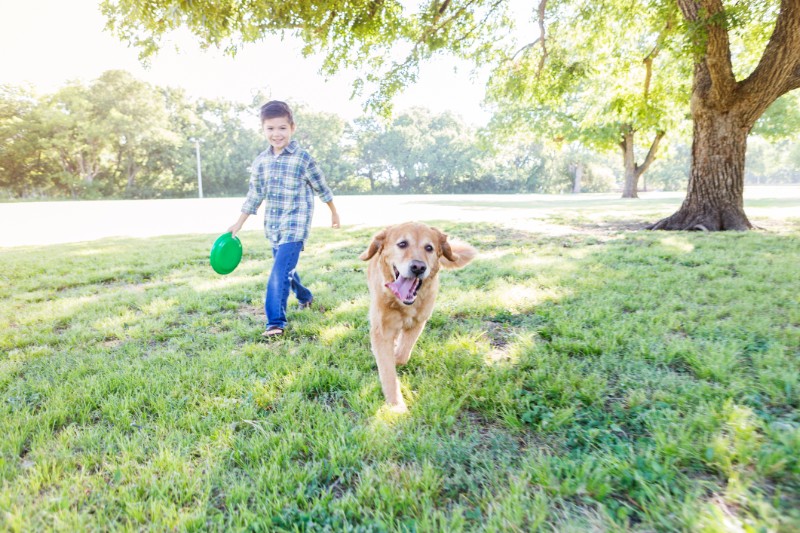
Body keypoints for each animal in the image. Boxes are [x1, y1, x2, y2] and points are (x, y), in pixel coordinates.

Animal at [360, 222, 476, 410]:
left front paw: (396, 355)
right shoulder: (382, 331)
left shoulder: (418, 323)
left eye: (429, 247)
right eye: (402, 244)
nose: (418, 267)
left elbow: (401, 356)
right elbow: (388, 371)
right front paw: (396, 405)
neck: (403, 304)